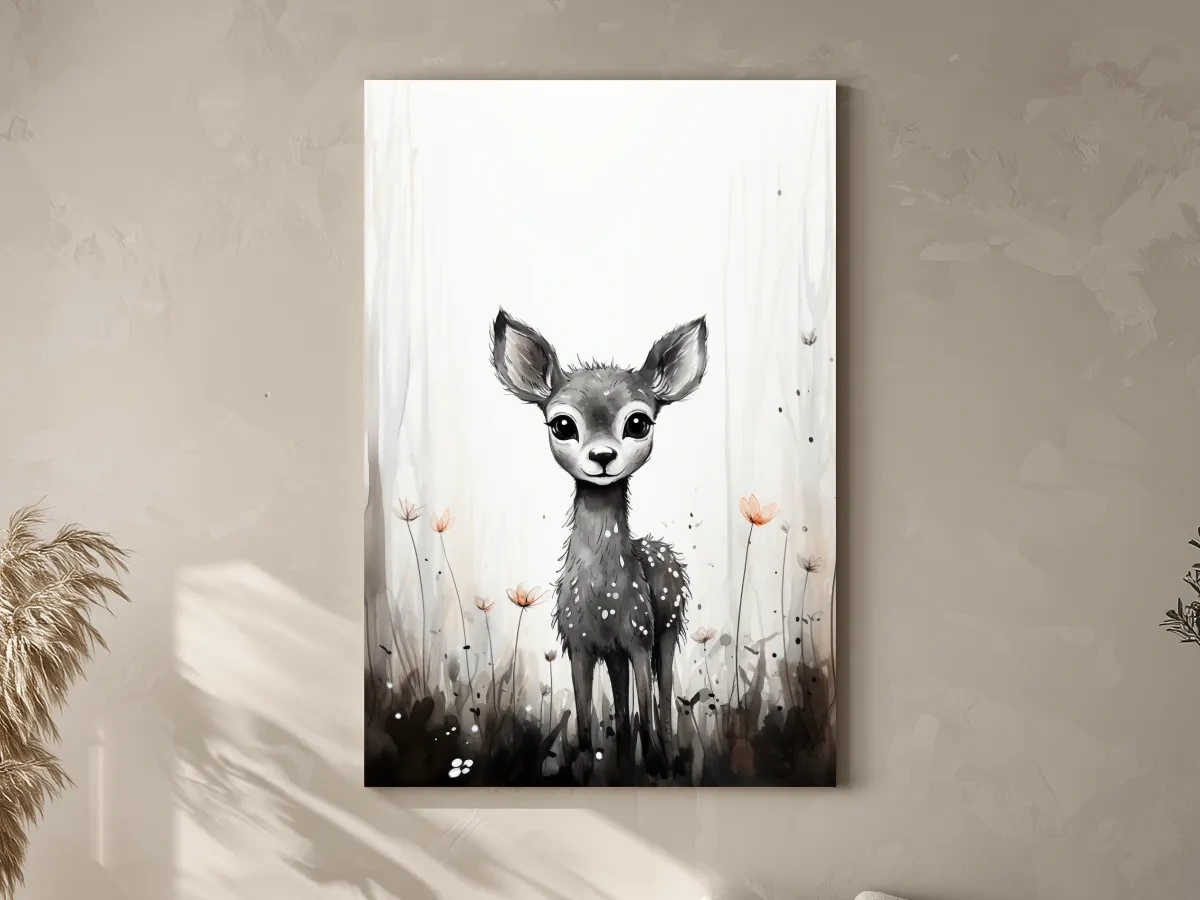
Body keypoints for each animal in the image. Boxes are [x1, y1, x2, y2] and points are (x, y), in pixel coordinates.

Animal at [491, 308, 708, 777]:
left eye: (639, 422)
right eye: (562, 424)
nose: (603, 457)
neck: (603, 597)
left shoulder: (640, 635)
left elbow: (647, 704)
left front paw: (655, 765)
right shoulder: (579, 643)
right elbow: (587, 721)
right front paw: (587, 767)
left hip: (667, 627)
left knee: (662, 698)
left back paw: (663, 759)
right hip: (616, 652)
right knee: (623, 708)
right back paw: (624, 761)